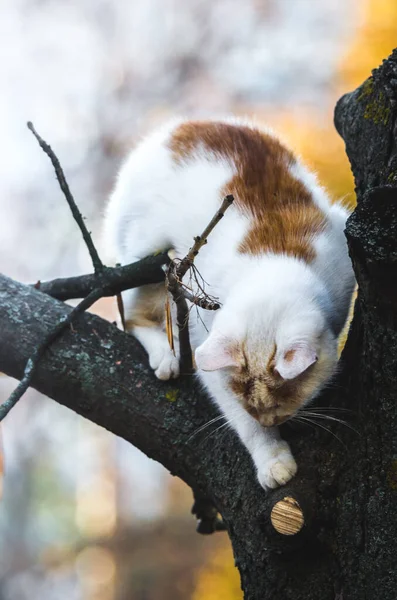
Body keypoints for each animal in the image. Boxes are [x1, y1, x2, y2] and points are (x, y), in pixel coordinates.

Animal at [103, 119, 354, 490]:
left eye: (284, 394)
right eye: (245, 397)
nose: (269, 419)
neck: (269, 269)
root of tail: (173, 127)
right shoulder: (204, 339)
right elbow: (242, 422)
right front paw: (272, 459)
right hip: (148, 257)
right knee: (133, 316)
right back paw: (166, 357)